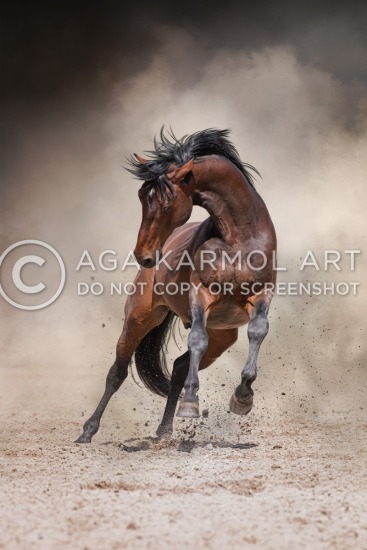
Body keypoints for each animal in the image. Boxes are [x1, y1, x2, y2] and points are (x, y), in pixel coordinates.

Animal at [75, 129, 276, 444]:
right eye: (141, 196)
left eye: (167, 202)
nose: (144, 255)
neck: (238, 239)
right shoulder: (201, 296)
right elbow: (196, 339)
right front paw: (192, 404)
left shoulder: (261, 295)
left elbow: (257, 332)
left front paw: (242, 399)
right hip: (139, 318)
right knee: (117, 373)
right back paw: (88, 431)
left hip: (223, 336)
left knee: (180, 366)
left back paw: (164, 430)